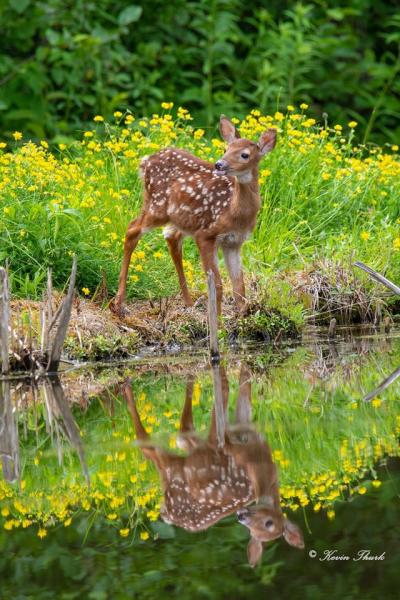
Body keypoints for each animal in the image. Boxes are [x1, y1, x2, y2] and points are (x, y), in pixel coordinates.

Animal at [111, 116, 277, 317]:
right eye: (225, 149)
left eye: (244, 154)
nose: (219, 164)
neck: (234, 211)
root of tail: (145, 161)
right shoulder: (206, 234)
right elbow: (217, 285)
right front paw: (218, 321)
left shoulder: (234, 242)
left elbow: (239, 287)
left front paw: (241, 317)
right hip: (157, 205)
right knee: (132, 229)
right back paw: (119, 302)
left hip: (178, 218)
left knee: (171, 238)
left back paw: (189, 303)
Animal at [122, 364, 304, 567]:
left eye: (268, 523)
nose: (242, 516)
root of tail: (168, 514)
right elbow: (239, 385)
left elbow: (236, 388)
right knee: (172, 435)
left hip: (178, 470)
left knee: (166, 439)